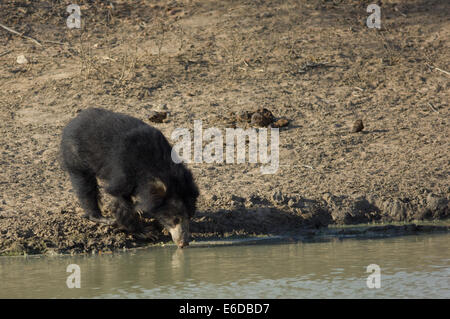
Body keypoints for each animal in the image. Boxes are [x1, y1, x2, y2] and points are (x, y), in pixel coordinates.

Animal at [59, 107, 199, 248]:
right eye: (175, 219)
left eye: (189, 217)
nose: (184, 243)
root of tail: (72, 123)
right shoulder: (123, 172)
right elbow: (119, 201)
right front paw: (146, 232)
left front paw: (140, 211)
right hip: (76, 155)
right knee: (85, 187)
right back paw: (101, 217)